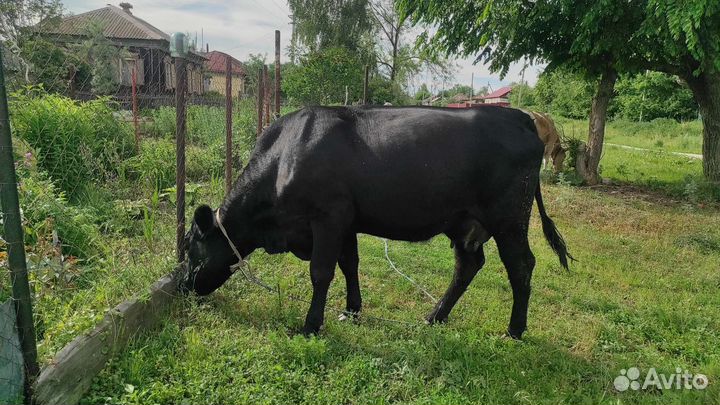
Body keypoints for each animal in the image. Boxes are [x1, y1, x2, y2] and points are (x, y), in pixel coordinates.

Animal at [180, 106, 572, 339]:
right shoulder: (347, 221)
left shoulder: (328, 217)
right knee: (468, 265)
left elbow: (321, 272)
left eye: (189, 249)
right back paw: (434, 316)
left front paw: (310, 325)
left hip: (509, 218)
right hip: (465, 223)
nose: (184, 286)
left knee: (521, 266)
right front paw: (351, 310)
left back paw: (514, 330)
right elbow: (349, 263)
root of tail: (517, 116)